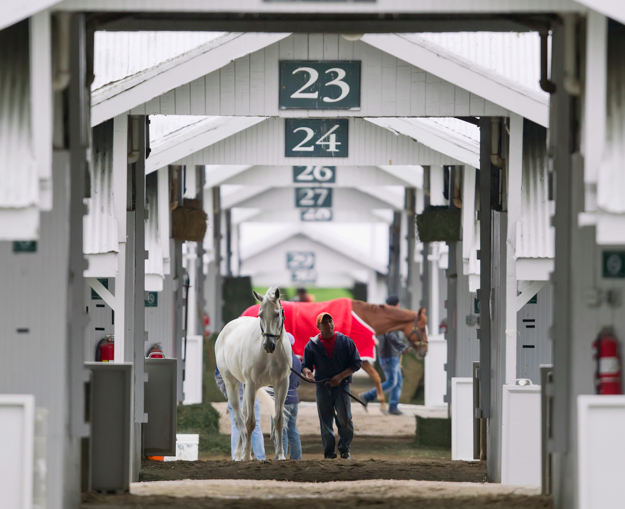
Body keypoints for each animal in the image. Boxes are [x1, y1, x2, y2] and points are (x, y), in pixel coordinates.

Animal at [214, 286, 292, 460]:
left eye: (277, 314)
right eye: (260, 314)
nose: (269, 345)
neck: (270, 356)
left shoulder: (282, 383)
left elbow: (278, 419)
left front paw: (281, 455)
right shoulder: (252, 384)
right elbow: (250, 422)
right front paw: (247, 456)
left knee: (243, 415)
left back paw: (241, 452)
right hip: (233, 383)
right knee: (239, 419)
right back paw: (242, 454)